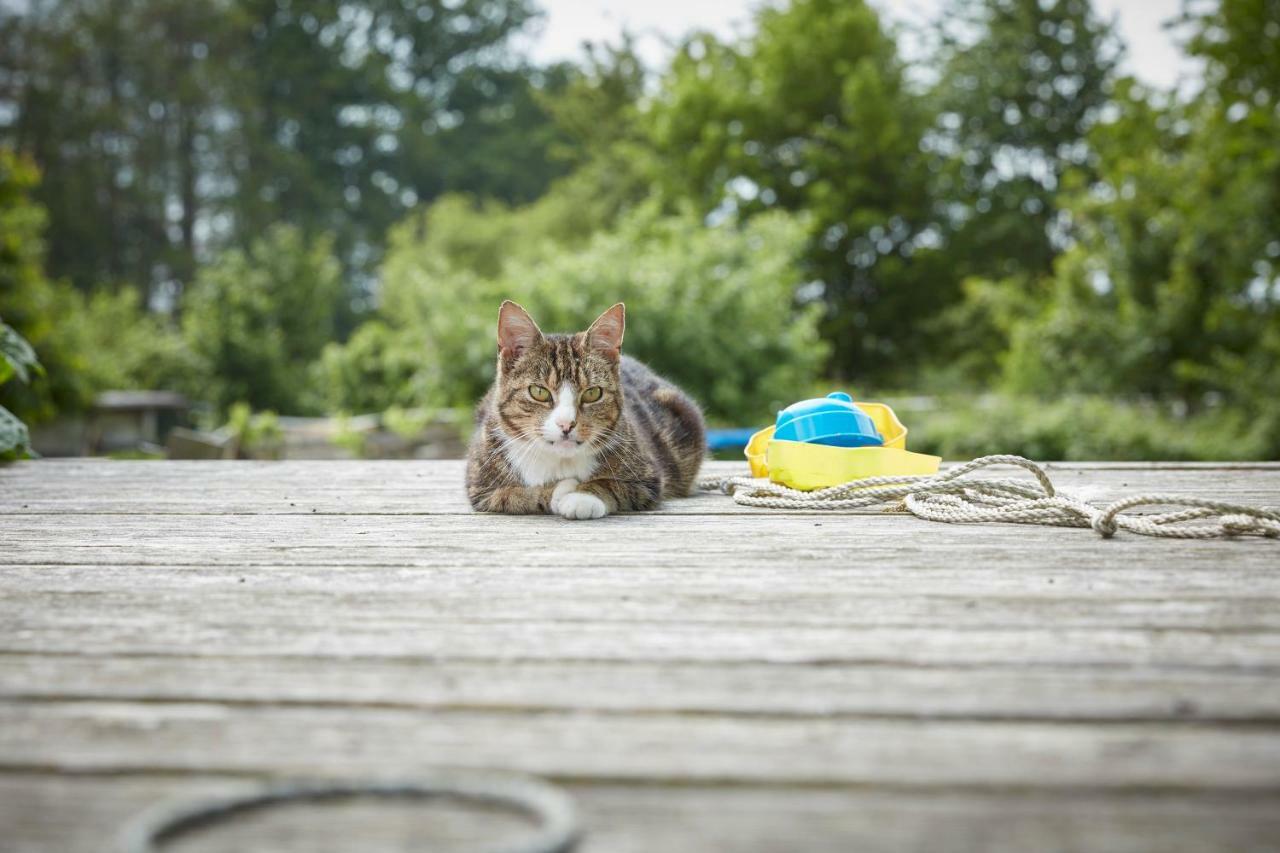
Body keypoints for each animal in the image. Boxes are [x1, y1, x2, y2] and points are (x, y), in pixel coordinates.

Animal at [465, 300, 706, 517]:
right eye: (539, 392)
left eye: (592, 393)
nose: (566, 424)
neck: (560, 461)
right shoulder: (481, 489)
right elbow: (514, 495)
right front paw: (557, 490)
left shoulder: (648, 479)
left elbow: (611, 485)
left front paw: (581, 497)